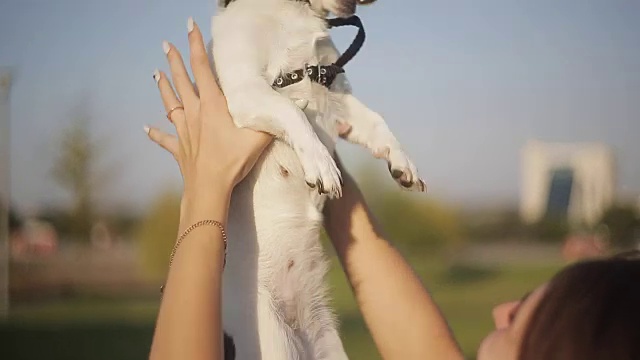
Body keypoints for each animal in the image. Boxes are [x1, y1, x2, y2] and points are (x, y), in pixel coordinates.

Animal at [209, 0, 424, 358]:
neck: (292, 12)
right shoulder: (245, 88)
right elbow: (290, 109)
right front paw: (321, 161)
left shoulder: (336, 90)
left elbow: (375, 120)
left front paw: (401, 160)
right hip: (271, 341)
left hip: (329, 347)